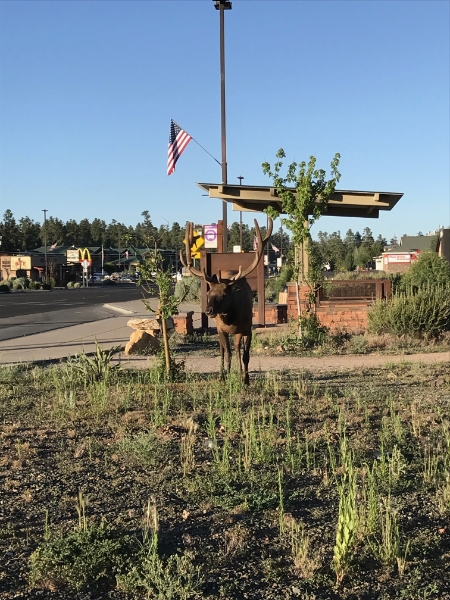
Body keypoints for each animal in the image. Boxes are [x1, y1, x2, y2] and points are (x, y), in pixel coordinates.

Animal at [180, 217, 272, 384]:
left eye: (224, 294)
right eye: (208, 293)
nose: (208, 310)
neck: (231, 320)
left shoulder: (246, 329)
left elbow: (245, 354)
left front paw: (245, 379)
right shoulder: (221, 329)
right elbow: (228, 352)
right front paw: (227, 376)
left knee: (237, 349)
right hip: (219, 329)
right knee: (223, 350)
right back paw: (222, 374)